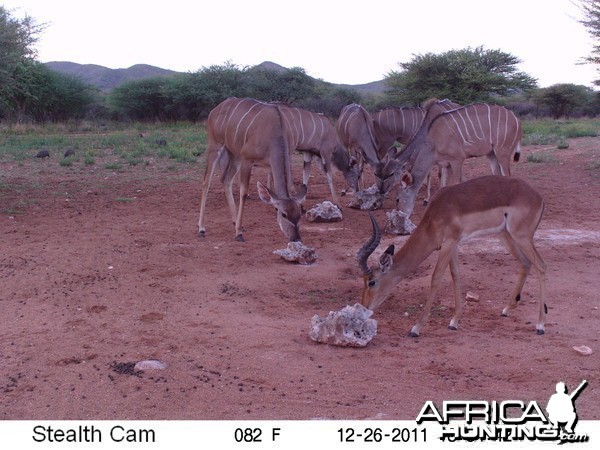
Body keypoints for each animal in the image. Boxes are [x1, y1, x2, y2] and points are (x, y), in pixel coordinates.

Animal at [199, 98, 308, 243]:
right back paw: (202, 228)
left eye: (299, 214)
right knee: (206, 181)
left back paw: (236, 223)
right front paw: (238, 234)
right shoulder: (247, 159)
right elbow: (244, 192)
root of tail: (214, 110)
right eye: (284, 214)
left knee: (226, 180)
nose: (296, 238)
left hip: (234, 155)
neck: (274, 131)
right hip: (215, 145)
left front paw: (238, 228)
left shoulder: (271, 164)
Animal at [356, 176, 548, 338]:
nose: (365, 307)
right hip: (505, 235)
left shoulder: (448, 243)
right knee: (525, 264)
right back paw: (507, 309)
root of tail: (538, 196)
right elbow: (455, 274)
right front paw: (454, 322)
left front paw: (416, 328)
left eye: (372, 281)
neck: (434, 217)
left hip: (521, 236)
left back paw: (540, 325)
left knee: (541, 265)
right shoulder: (453, 244)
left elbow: (436, 278)